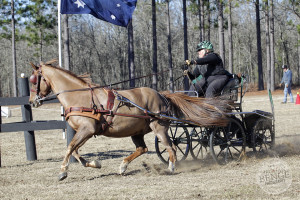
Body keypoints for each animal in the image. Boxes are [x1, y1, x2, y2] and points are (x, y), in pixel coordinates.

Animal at [29, 60, 229, 180]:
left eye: (33, 80)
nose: (32, 101)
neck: (81, 97)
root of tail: (162, 95)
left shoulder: (87, 130)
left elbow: (70, 147)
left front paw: (63, 172)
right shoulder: (84, 132)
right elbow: (75, 151)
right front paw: (94, 164)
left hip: (159, 127)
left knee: (170, 147)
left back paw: (171, 168)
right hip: (136, 131)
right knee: (143, 148)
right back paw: (123, 166)